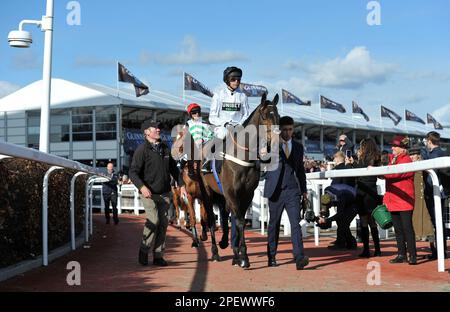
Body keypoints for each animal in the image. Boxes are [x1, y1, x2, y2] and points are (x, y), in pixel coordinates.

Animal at [201, 92, 280, 268]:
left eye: (278, 116)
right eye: (265, 116)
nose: (275, 141)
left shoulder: (247, 193)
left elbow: (239, 220)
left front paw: (239, 255)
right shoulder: (232, 192)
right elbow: (240, 222)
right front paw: (244, 257)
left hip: (222, 195)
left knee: (224, 216)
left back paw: (225, 244)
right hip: (207, 193)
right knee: (211, 220)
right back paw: (215, 252)